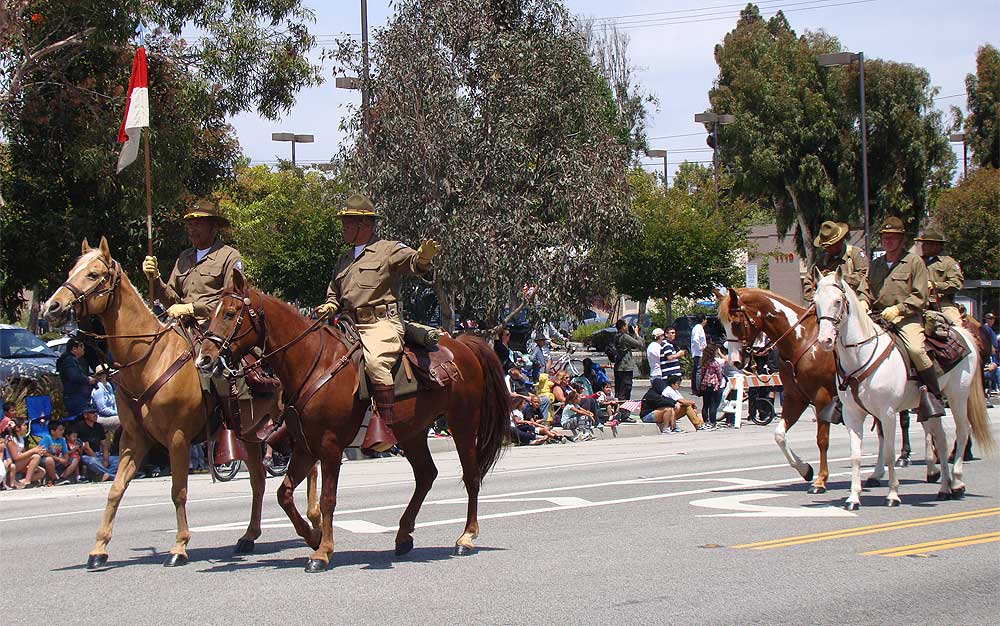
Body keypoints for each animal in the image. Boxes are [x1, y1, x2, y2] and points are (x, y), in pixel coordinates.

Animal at [41, 236, 316, 568]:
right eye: (72, 271)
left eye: (94, 274)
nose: (52, 306)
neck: (148, 360)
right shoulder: (133, 439)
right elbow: (116, 489)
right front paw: (99, 548)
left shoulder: (178, 438)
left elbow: (178, 491)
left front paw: (179, 546)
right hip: (249, 433)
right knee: (259, 480)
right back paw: (249, 536)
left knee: (310, 469)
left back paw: (313, 518)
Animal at [194, 268, 512, 572]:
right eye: (211, 313)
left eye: (230, 313)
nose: (204, 360)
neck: (314, 361)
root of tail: (463, 345)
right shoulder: (305, 447)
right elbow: (284, 493)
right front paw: (313, 536)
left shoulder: (330, 447)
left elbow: (327, 499)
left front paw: (322, 553)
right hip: (412, 433)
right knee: (426, 475)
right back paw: (403, 536)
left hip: (463, 424)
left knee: (471, 476)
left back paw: (466, 537)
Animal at [812, 270, 992, 508]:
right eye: (815, 303)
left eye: (837, 301)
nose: (824, 340)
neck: (860, 355)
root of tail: (964, 332)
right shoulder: (852, 415)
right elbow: (856, 455)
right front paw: (853, 498)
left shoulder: (887, 413)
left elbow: (889, 452)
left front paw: (892, 494)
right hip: (931, 405)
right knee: (941, 440)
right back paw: (944, 488)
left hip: (958, 396)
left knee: (962, 432)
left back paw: (957, 483)